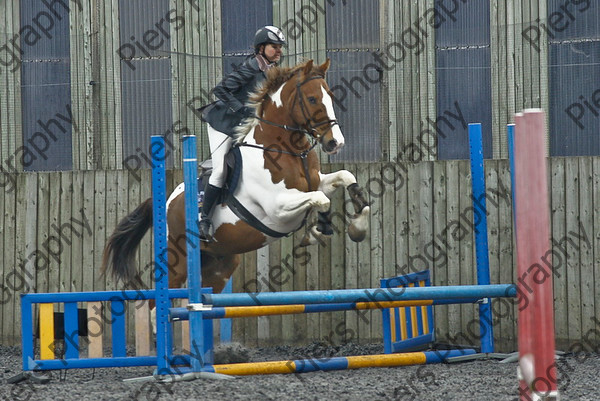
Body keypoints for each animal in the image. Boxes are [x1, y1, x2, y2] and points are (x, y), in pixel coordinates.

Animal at [102, 58, 370, 296]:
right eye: (312, 98)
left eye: (331, 97)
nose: (335, 143)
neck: (286, 149)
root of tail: (168, 200)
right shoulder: (278, 208)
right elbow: (321, 199)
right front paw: (317, 232)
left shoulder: (316, 182)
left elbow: (344, 178)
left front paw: (355, 226)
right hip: (177, 261)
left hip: (220, 265)